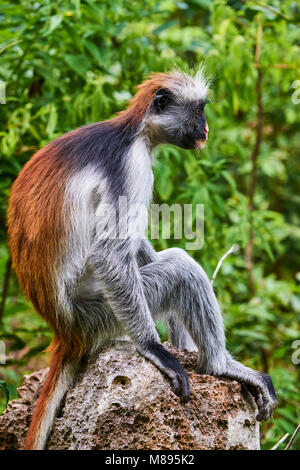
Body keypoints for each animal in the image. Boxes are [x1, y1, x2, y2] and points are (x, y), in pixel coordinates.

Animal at [7, 69, 276, 448]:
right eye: (198, 113)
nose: (206, 130)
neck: (133, 132)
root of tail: (65, 329)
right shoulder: (130, 166)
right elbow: (109, 254)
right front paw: (153, 348)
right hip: (99, 314)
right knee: (181, 269)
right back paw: (219, 366)